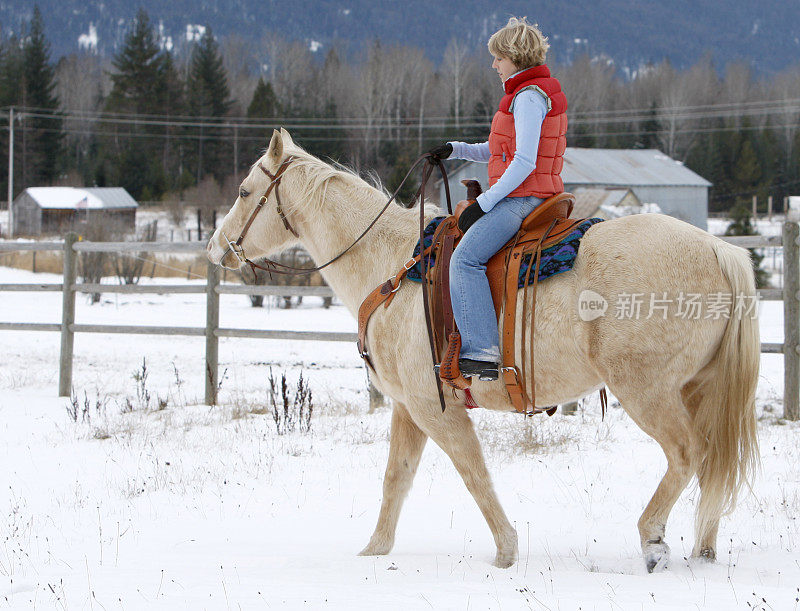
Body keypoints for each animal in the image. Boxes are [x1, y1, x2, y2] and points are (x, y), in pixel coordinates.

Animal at [206, 129, 756, 572]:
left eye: (244, 192)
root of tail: (718, 249)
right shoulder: (408, 408)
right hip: (696, 388)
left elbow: (473, 474)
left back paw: (653, 539)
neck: (391, 267)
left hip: (647, 391)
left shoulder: (436, 409)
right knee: (712, 462)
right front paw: (374, 551)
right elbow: (395, 478)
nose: (215, 248)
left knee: (687, 453)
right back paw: (704, 549)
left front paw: (506, 551)